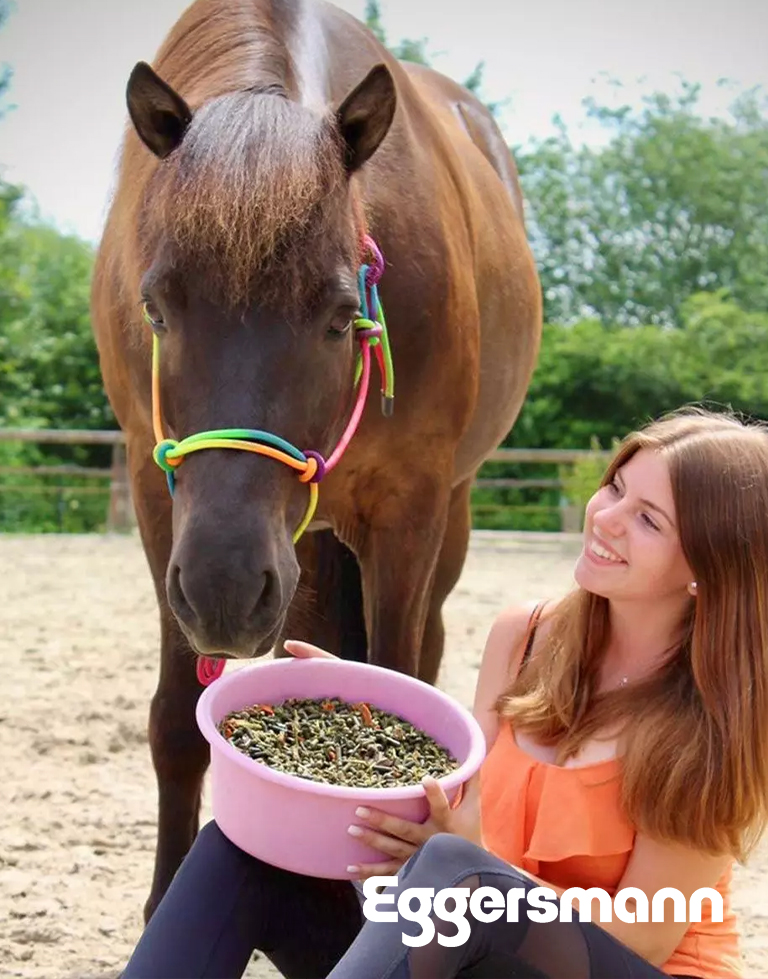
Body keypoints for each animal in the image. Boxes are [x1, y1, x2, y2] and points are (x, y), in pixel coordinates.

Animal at [90, 0, 542, 922]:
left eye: (340, 315)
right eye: (154, 307)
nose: (226, 588)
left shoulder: (410, 504)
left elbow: (397, 676)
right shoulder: (161, 503)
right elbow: (175, 721)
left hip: (444, 513)